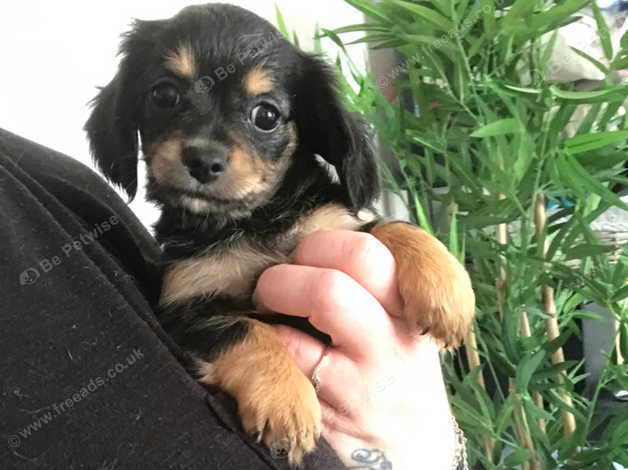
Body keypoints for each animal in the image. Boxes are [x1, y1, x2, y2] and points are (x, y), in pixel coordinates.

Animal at [84, 3, 476, 464]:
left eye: (266, 116)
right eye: (164, 95)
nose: (203, 160)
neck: (254, 220)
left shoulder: (332, 225)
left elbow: (389, 226)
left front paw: (447, 292)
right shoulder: (189, 308)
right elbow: (246, 331)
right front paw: (285, 401)